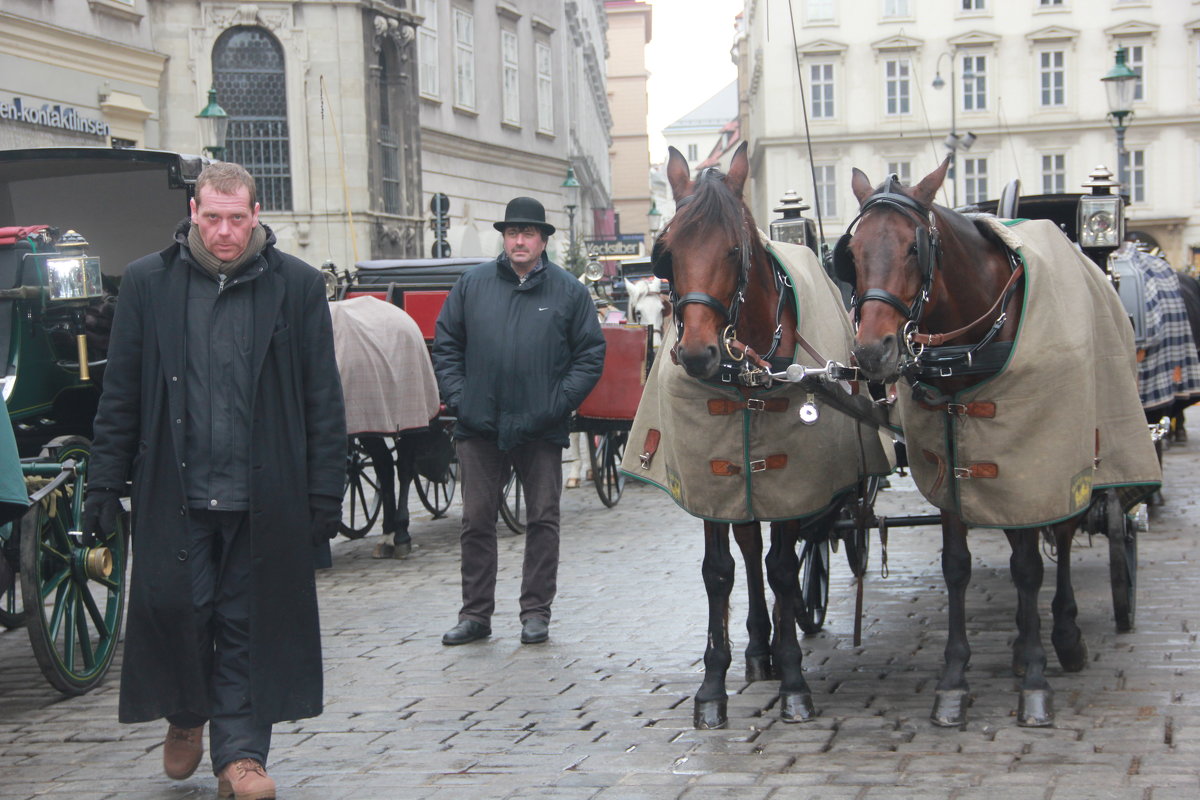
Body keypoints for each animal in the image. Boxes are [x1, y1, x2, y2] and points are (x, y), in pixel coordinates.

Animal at [652, 140, 859, 729]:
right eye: (667, 252)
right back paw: (755, 647)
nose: (699, 353)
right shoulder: (712, 477)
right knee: (747, 549)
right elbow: (720, 571)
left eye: (733, 250)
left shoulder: (791, 481)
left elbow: (784, 568)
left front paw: (793, 681)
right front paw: (712, 686)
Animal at [840, 159, 1094, 729]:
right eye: (853, 252)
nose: (871, 352)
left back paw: (1064, 633)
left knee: (1065, 535)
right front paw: (954, 679)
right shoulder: (951, 455)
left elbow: (1030, 566)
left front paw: (1035, 679)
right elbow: (957, 564)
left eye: (914, 248)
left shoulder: (1029, 453)